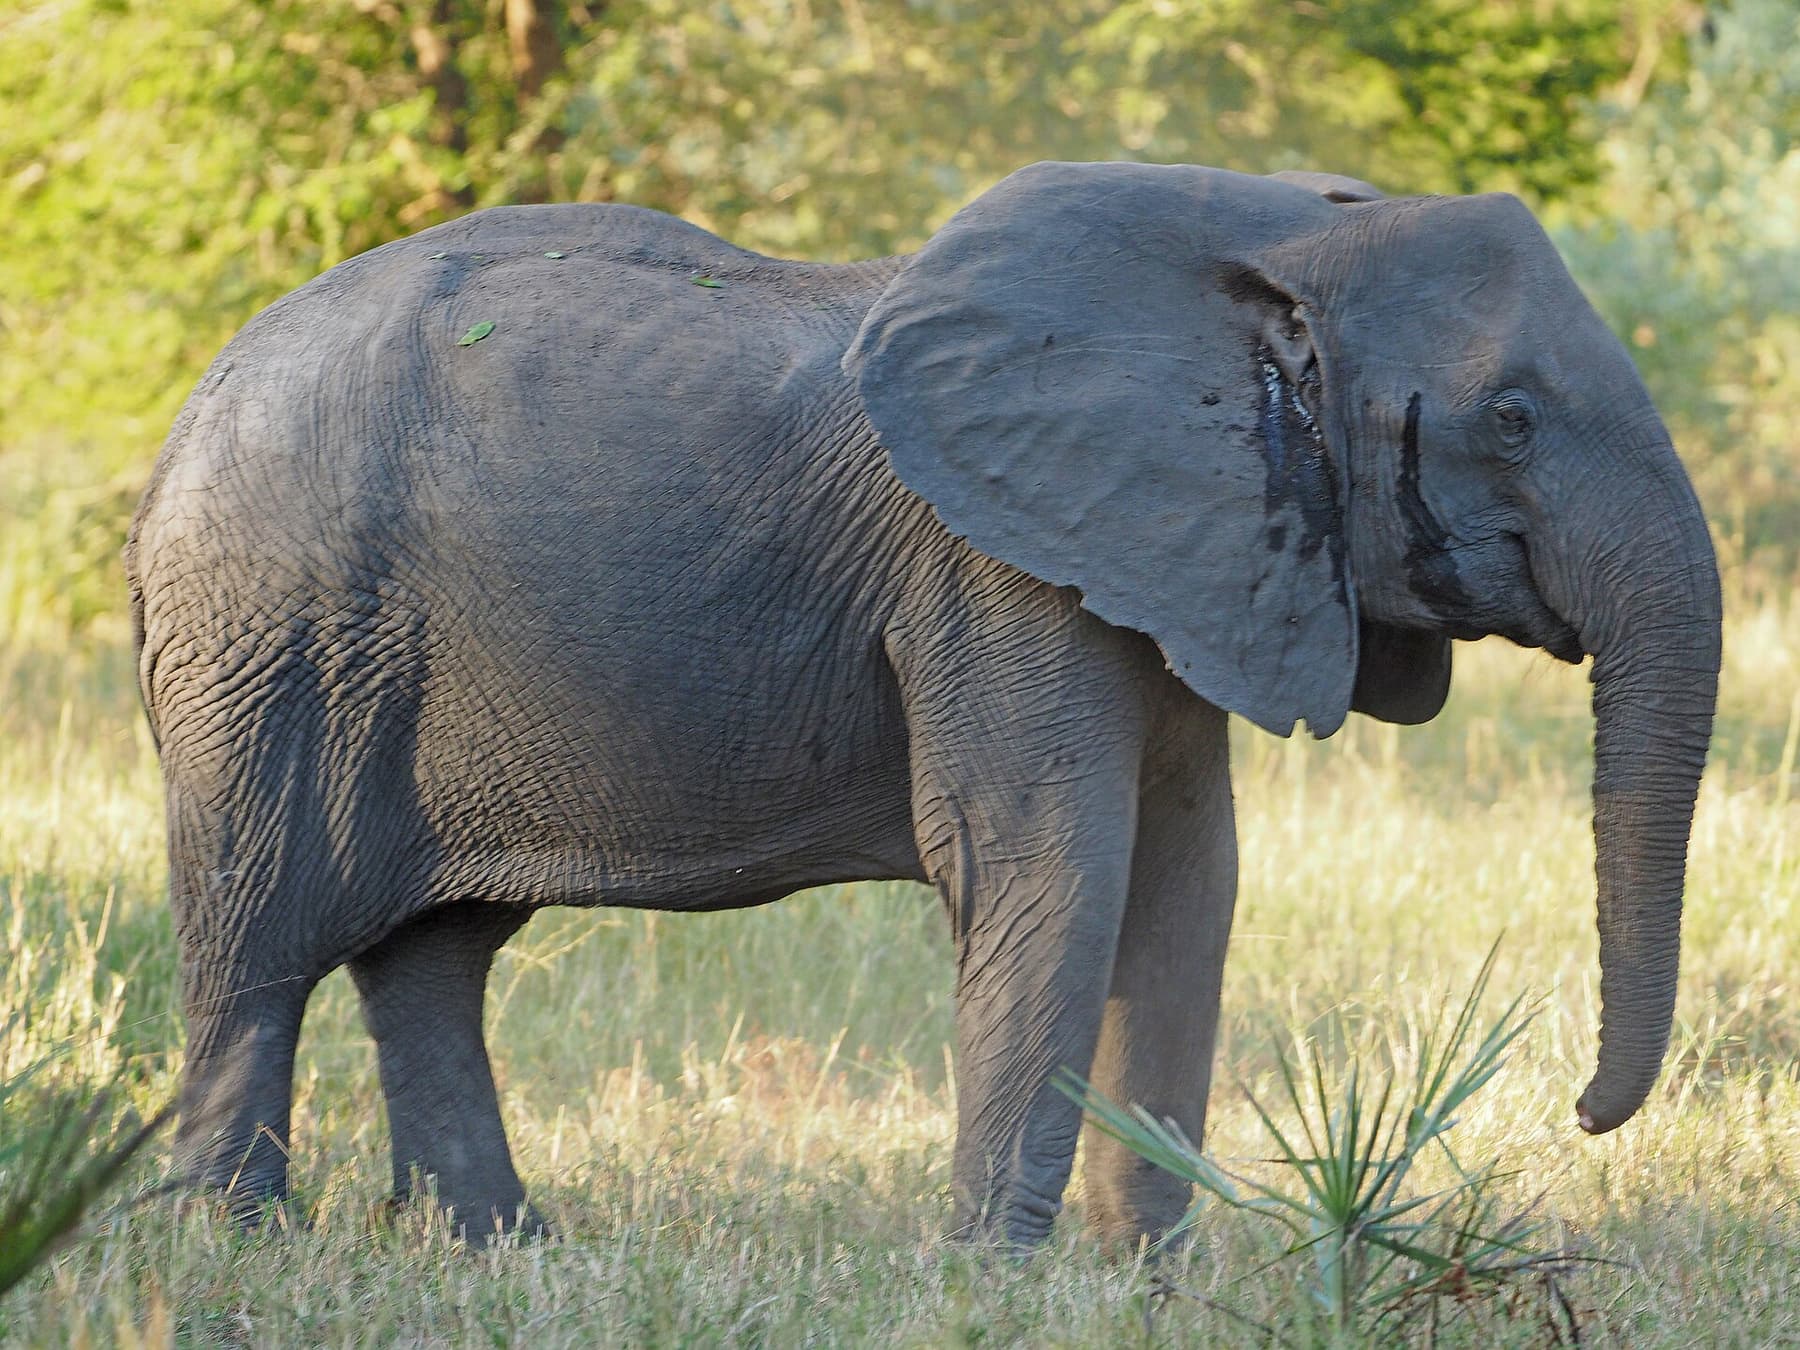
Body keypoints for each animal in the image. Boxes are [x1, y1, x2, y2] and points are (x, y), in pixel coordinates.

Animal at [126, 160, 1721, 1250]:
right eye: (1512, 418)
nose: (1582, 1113)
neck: (1278, 234)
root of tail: (185, 412)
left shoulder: (1182, 550)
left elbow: (1191, 880)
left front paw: (1142, 1281)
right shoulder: (995, 570)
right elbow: (1054, 867)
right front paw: (995, 1280)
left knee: (434, 955)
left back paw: (498, 1252)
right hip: (268, 634)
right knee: (257, 936)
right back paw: (235, 1249)